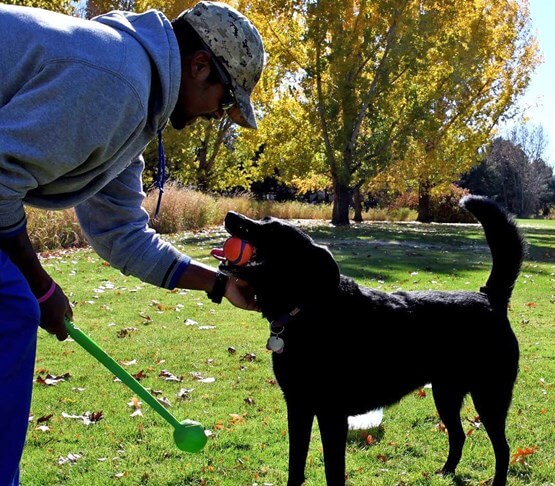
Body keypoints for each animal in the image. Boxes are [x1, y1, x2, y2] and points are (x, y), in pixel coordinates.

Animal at [219, 196, 524, 484]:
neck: (308, 307)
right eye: (262, 220)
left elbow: (333, 472)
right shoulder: (298, 407)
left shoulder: (331, 415)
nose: (230, 215)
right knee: (459, 435)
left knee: (503, 449)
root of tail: (489, 297)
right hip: (446, 394)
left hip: (489, 397)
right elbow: (296, 466)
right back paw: (446, 472)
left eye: (272, 231)